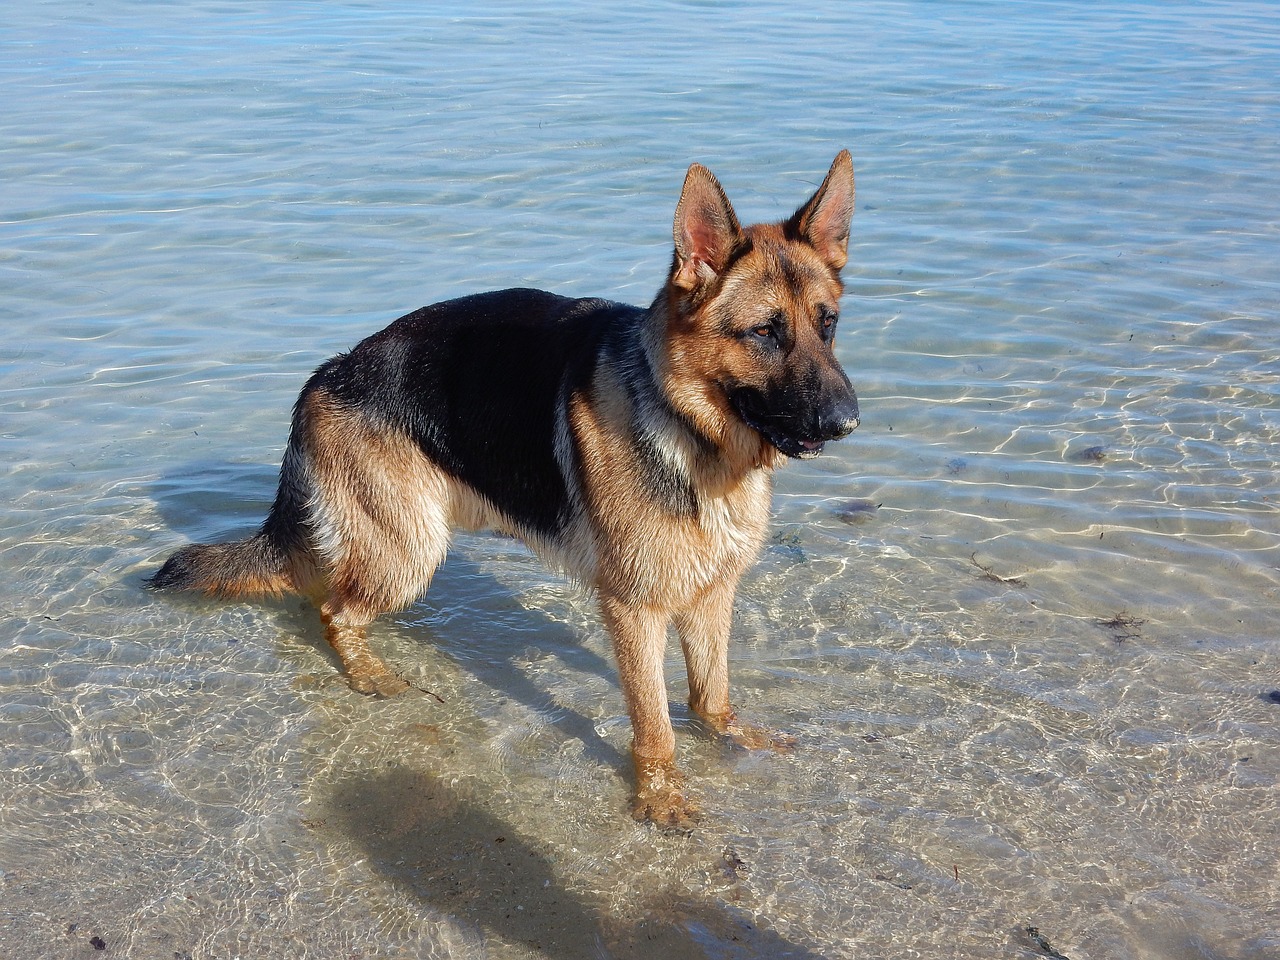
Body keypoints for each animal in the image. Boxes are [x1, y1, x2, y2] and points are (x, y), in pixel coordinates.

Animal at [154, 150, 865, 829]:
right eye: (765, 332)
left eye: (827, 324)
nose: (847, 422)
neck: (688, 429)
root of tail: (324, 376)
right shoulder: (635, 611)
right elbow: (655, 726)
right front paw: (658, 798)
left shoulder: (712, 592)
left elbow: (710, 698)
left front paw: (732, 740)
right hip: (408, 552)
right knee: (335, 612)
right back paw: (371, 675)